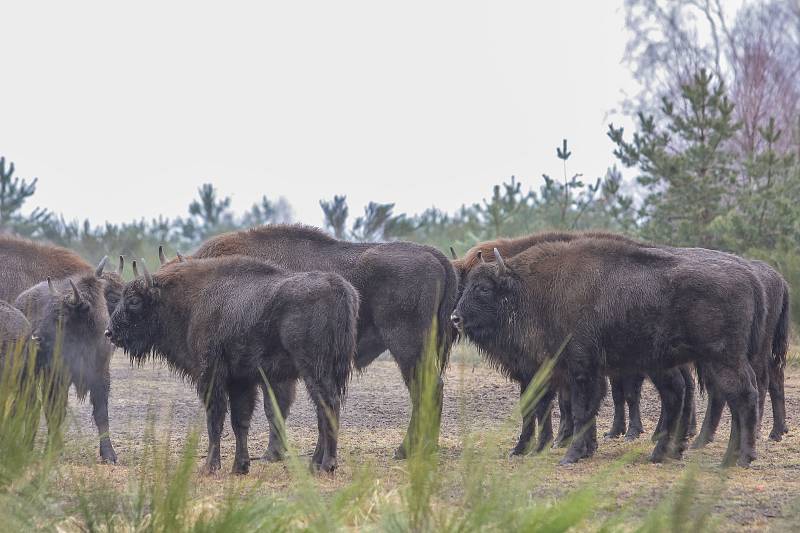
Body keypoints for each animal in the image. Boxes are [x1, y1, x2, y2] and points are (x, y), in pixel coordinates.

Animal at [0, 235, 122, 464]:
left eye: (62, 315)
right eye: (51, 311)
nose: (36, 337)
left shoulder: (101, 375)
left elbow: (102, 414)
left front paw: (109, 455)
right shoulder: (55, 377)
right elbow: (54, 412)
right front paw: (52, 449)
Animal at [107, 256, 360, 472]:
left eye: (134, 301)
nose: (110, 332)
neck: (190, 300)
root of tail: (338, 287)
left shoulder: (212, 376)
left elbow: (215, 419)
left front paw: (210, 466)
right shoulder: (241, 380)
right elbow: (240, 421)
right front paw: (240, 466)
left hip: (314, 370)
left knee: (328, 407)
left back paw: (326, 464)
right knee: (324, 410)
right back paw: (315, 463)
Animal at [180, 222, 456, 460]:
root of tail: (434, 255)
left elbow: (274, 408)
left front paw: (271, 454)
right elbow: (277, 408)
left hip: (407, 347)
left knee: (427, 390)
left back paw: (407, 450)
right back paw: (425, 448)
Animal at [454, 239, 764, 468]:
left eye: (483, 288)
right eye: (465, 286)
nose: (455, 317)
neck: (536, 288)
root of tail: (749, 274)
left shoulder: (578, 368)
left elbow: (580, 410)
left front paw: (570, 456)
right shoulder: (579, 372)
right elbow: (585, 409)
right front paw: (585, 450)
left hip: (721, 358)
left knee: (741, 396)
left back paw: (737, 459)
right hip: (679, 363)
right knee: (691, 396)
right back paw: (666, 453)